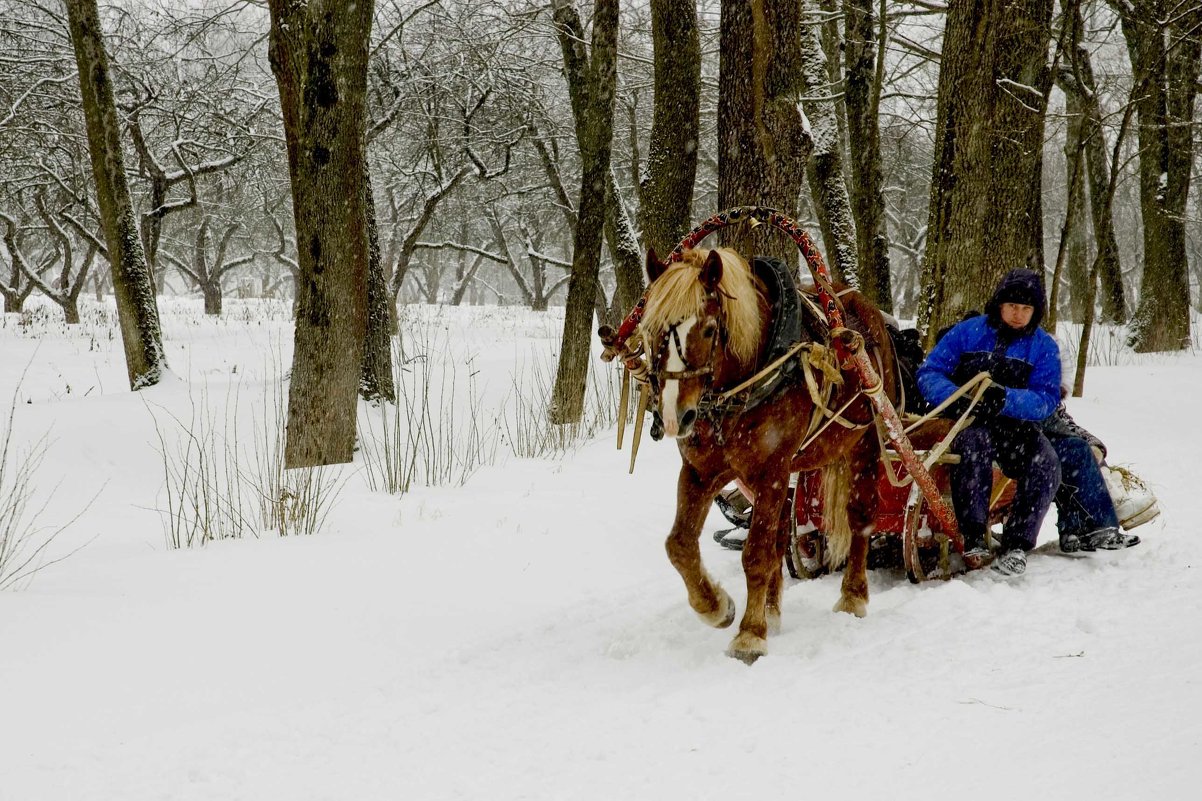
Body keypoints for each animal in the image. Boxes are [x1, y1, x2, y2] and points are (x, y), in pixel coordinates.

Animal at [644, 246, 899, 659]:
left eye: (709, 329)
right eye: (651, 331)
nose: (672, 417)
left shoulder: (770, 470)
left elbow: (756, 554)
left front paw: (750, 635)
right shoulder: (701, 471)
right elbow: (679, 545)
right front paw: (717, 607)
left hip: (865, 443)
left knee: (860, 518)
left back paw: (853, 597)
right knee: (782, 532)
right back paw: (772, 610)